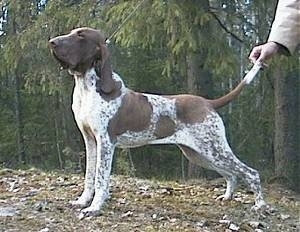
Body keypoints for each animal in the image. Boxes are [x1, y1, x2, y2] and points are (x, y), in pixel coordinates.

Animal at [49, 27, 268, 218]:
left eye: (81, 36)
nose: (52, 42)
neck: (87, 88)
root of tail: (208, 103)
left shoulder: (106, 142)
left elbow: (101, 179)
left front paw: (94, 208)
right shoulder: (90, 141)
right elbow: (89, 177)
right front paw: (82, 201)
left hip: (214, 149)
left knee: (250, 172)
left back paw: (260, 205)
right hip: (199, 154)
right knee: (231, 174)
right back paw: (227, 196)